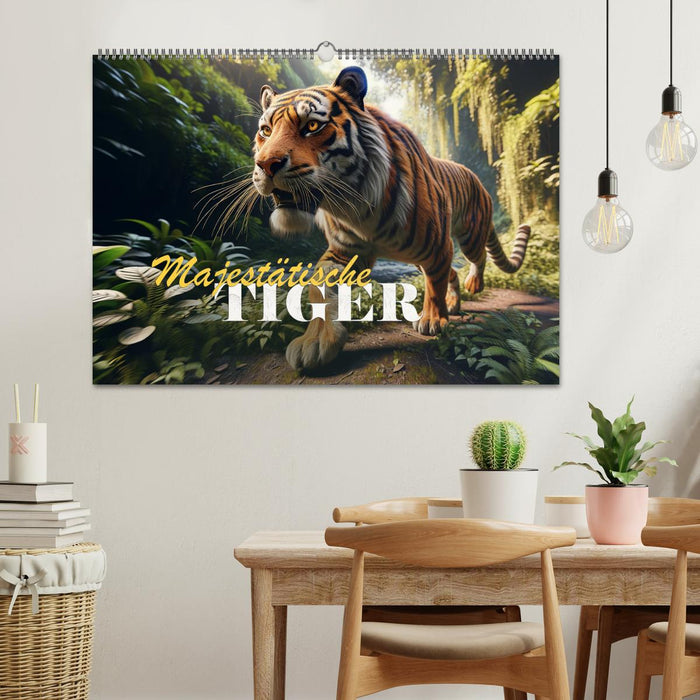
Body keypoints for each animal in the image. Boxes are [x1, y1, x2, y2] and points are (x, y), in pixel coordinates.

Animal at [249, 66, 531, 371]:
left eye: (312, 126)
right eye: (265, 131)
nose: (265, 165)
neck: (352, 205)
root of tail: (480, 182)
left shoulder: (438, 243)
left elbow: (434, 286)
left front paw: (432, 321)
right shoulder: (346, 250)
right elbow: (319, 286)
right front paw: (316, 341)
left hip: (468, 234)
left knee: (474, 259)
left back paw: (473, 284)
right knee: (449, 271)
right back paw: (454, 303)